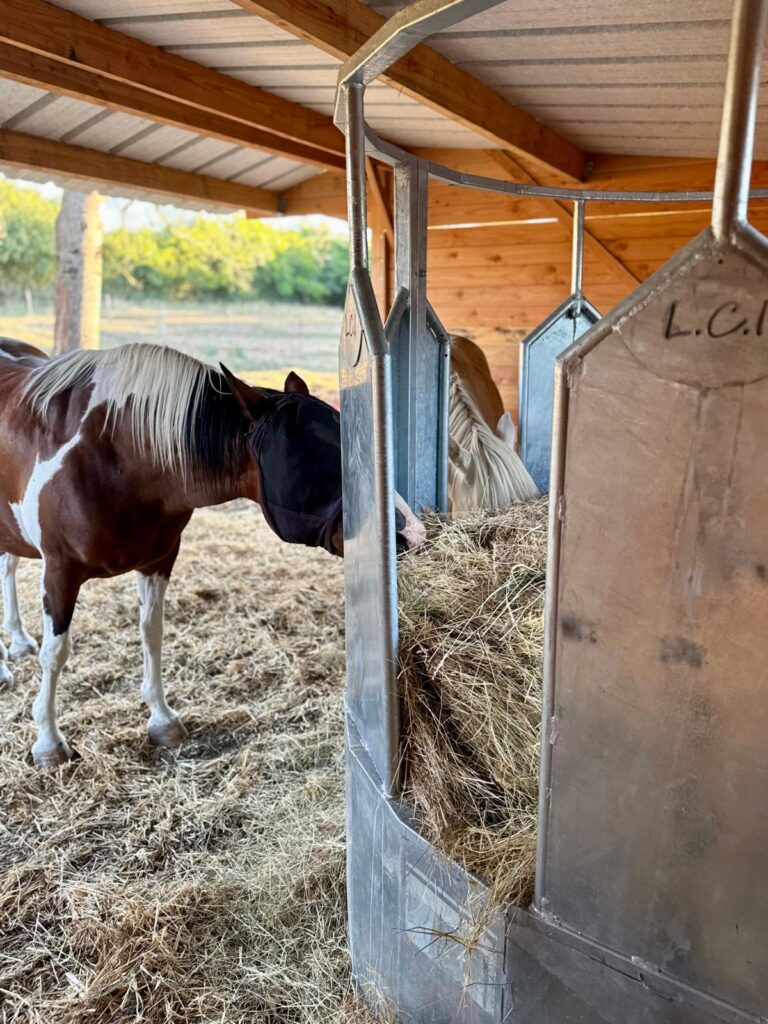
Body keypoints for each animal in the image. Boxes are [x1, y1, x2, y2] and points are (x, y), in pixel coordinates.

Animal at [0, 339, 425, 768]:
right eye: (315, 455)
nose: (410, 532)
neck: (117, 457)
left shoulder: (158, 561)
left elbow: (152, 634)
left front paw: (162, 720)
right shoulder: (60, 571)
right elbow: (56, 653)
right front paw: (49, 743)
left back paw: (16, 642)